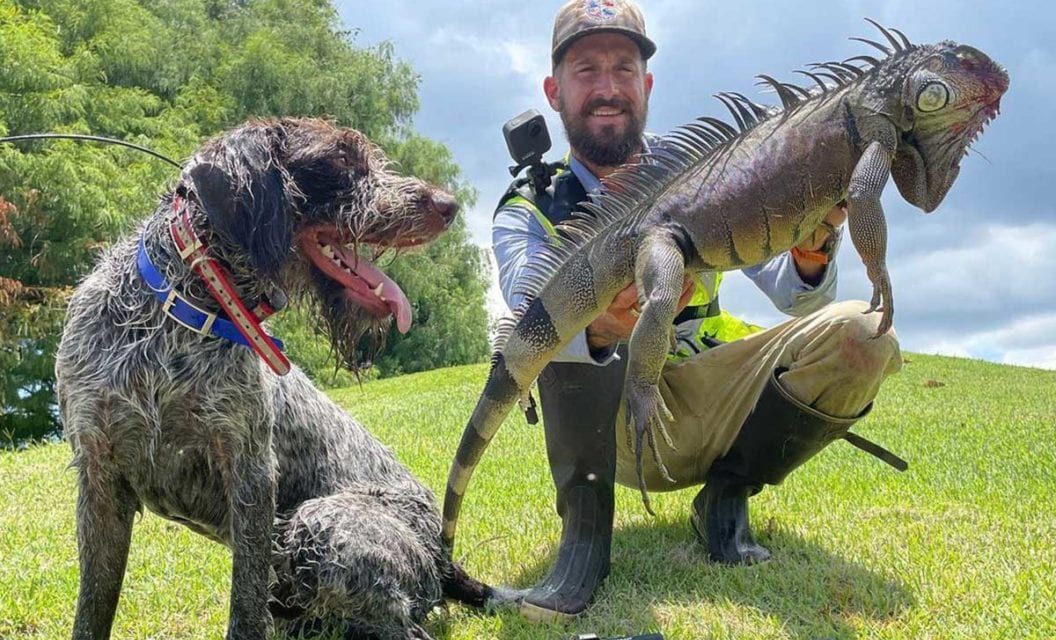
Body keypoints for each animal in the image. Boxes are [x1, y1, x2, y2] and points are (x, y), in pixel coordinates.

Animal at [53, 117, 489, 637]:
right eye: (340, 159)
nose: (448, 205)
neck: (178, 312)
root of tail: (444, 556)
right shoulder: (100, 474)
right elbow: (93, 609)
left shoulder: (250, 471)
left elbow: (245, 603)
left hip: (322, 524)